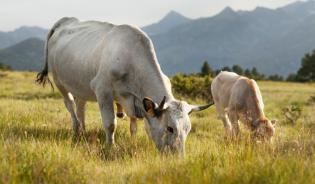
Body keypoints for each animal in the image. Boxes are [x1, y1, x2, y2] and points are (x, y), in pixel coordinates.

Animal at [35, 17, 212, 154]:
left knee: (81, 106)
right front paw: (110, 146)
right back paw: (77, 129)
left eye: (188, 129)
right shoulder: (102, 90)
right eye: (170, 128)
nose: (179, 157)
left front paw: (132, 140)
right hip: (60, 82)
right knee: (70, 105)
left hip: (80, 84)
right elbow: (110, 123)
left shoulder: (135, 101)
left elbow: (135, 125)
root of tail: (66, 21)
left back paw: (83, 130)